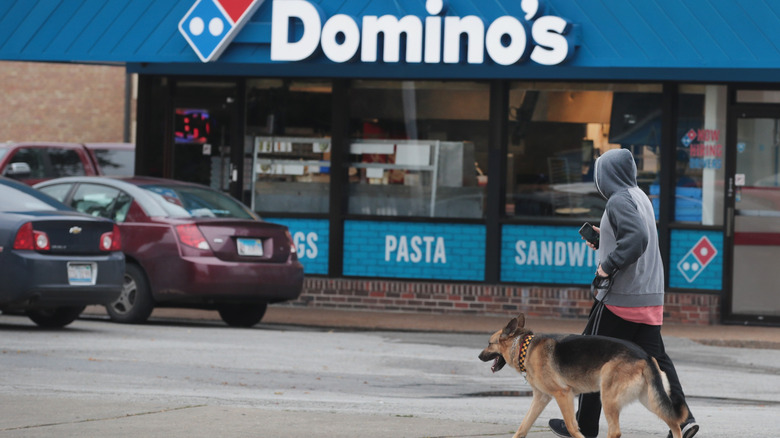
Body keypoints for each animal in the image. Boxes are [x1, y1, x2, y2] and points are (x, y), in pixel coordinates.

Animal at [476, 314, 688, 436]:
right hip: (649, 400)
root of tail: (645, 356)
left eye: (489, 343)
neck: (524, 347)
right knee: (674, 424)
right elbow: (522, 427)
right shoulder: (541, 398)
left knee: (615, 432)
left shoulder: (563, 395)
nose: (478, 356)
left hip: (608, 398)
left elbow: (571, 427)